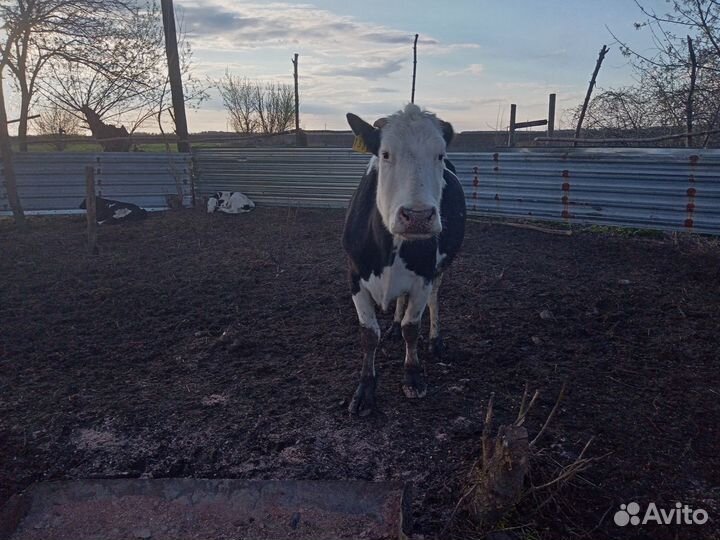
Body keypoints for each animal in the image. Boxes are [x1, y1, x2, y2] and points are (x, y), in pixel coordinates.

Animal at [342, 103, 466, 416]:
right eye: (385, 154)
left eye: (439, 155)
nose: (418, 216)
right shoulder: (354, 275)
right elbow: (369, 334)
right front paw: (365, 389)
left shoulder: (424, 274)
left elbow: (412, 326)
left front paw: (412, 376)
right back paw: (394, 325)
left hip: (439, 269)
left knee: (434, 299)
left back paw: (435, 340)